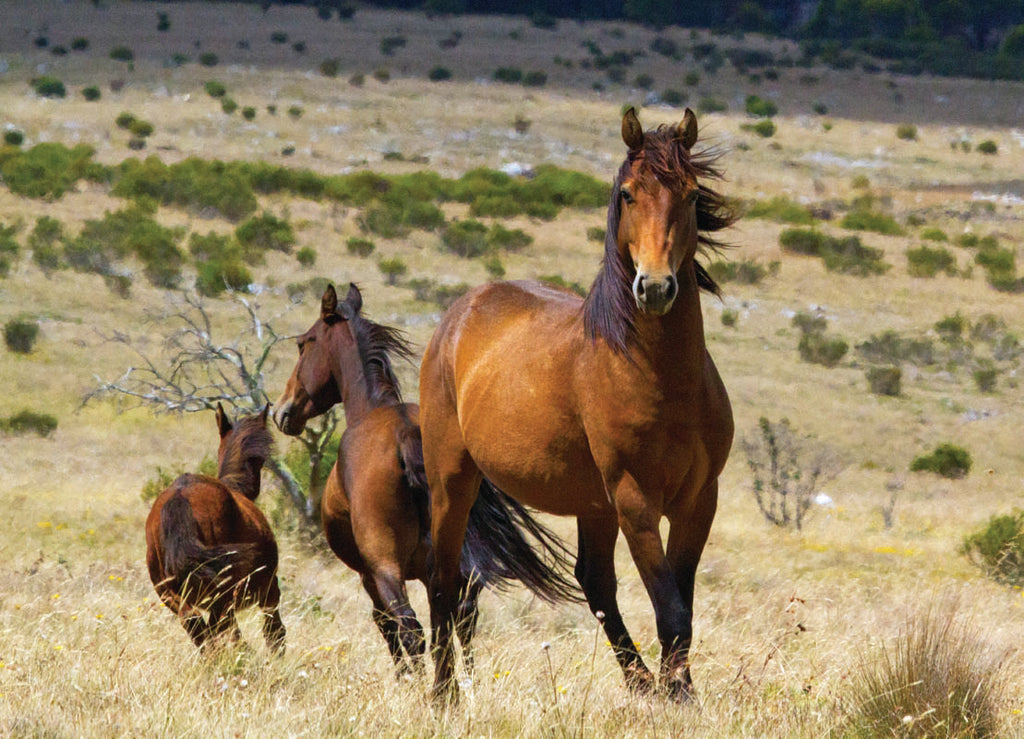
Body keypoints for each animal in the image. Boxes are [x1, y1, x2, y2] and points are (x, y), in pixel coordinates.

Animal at [142, 403, 282, 650]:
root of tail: (179, 497)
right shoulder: (269, 590)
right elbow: (274, 634)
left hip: (172, 595)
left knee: (200, 629)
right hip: (222, 598)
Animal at [272, 286, 581, 675]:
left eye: (303, 344)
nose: (282, 411)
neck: (371, 409)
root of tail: (406, 437)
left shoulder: (369, 575)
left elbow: (388, 627)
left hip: (387, 568)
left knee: (410, 628)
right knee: (459, 621)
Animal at [415, 106, 737, 700]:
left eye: (689, 194)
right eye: (629, 194)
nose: (655, 288)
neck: (663, 378)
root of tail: (461, 311)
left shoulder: (699, 499)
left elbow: (681, 605)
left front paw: (676, 688)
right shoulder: (635, 499)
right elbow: (670, 608)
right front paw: (679, 697)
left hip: (593, 503)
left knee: (594, 582)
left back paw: (639, 683)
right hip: (452, 479)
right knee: (443, 578)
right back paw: (444, 692)